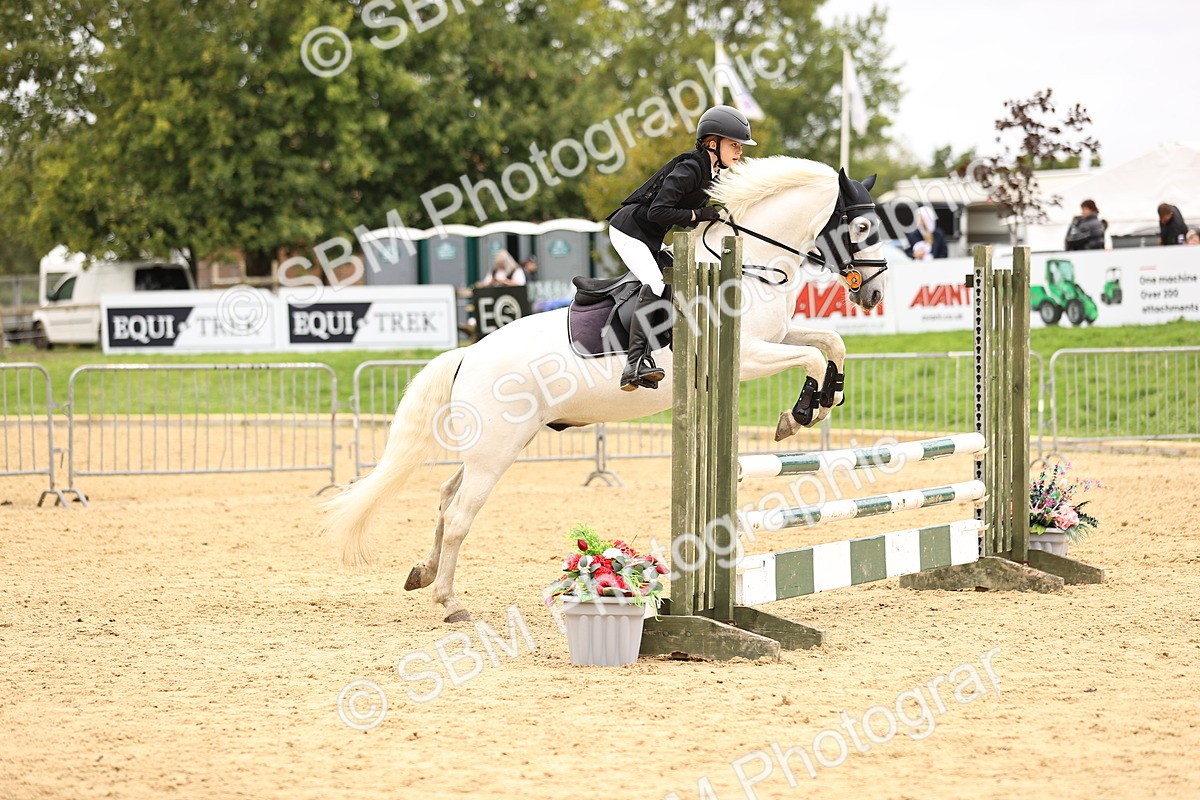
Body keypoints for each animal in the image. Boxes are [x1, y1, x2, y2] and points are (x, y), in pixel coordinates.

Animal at [319, 156, 889, 623]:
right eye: (861, 226)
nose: (876, 294)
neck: (750, 267)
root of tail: (469, 354)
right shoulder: (748, 354)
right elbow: (813, 355)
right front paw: (800, 413)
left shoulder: (775, 337)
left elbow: (830, 342)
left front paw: (829, 397)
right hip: (495, 449)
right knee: (460, 514)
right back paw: (449, 602)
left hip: (496, 444)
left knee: (444, 498)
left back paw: (423, 574)